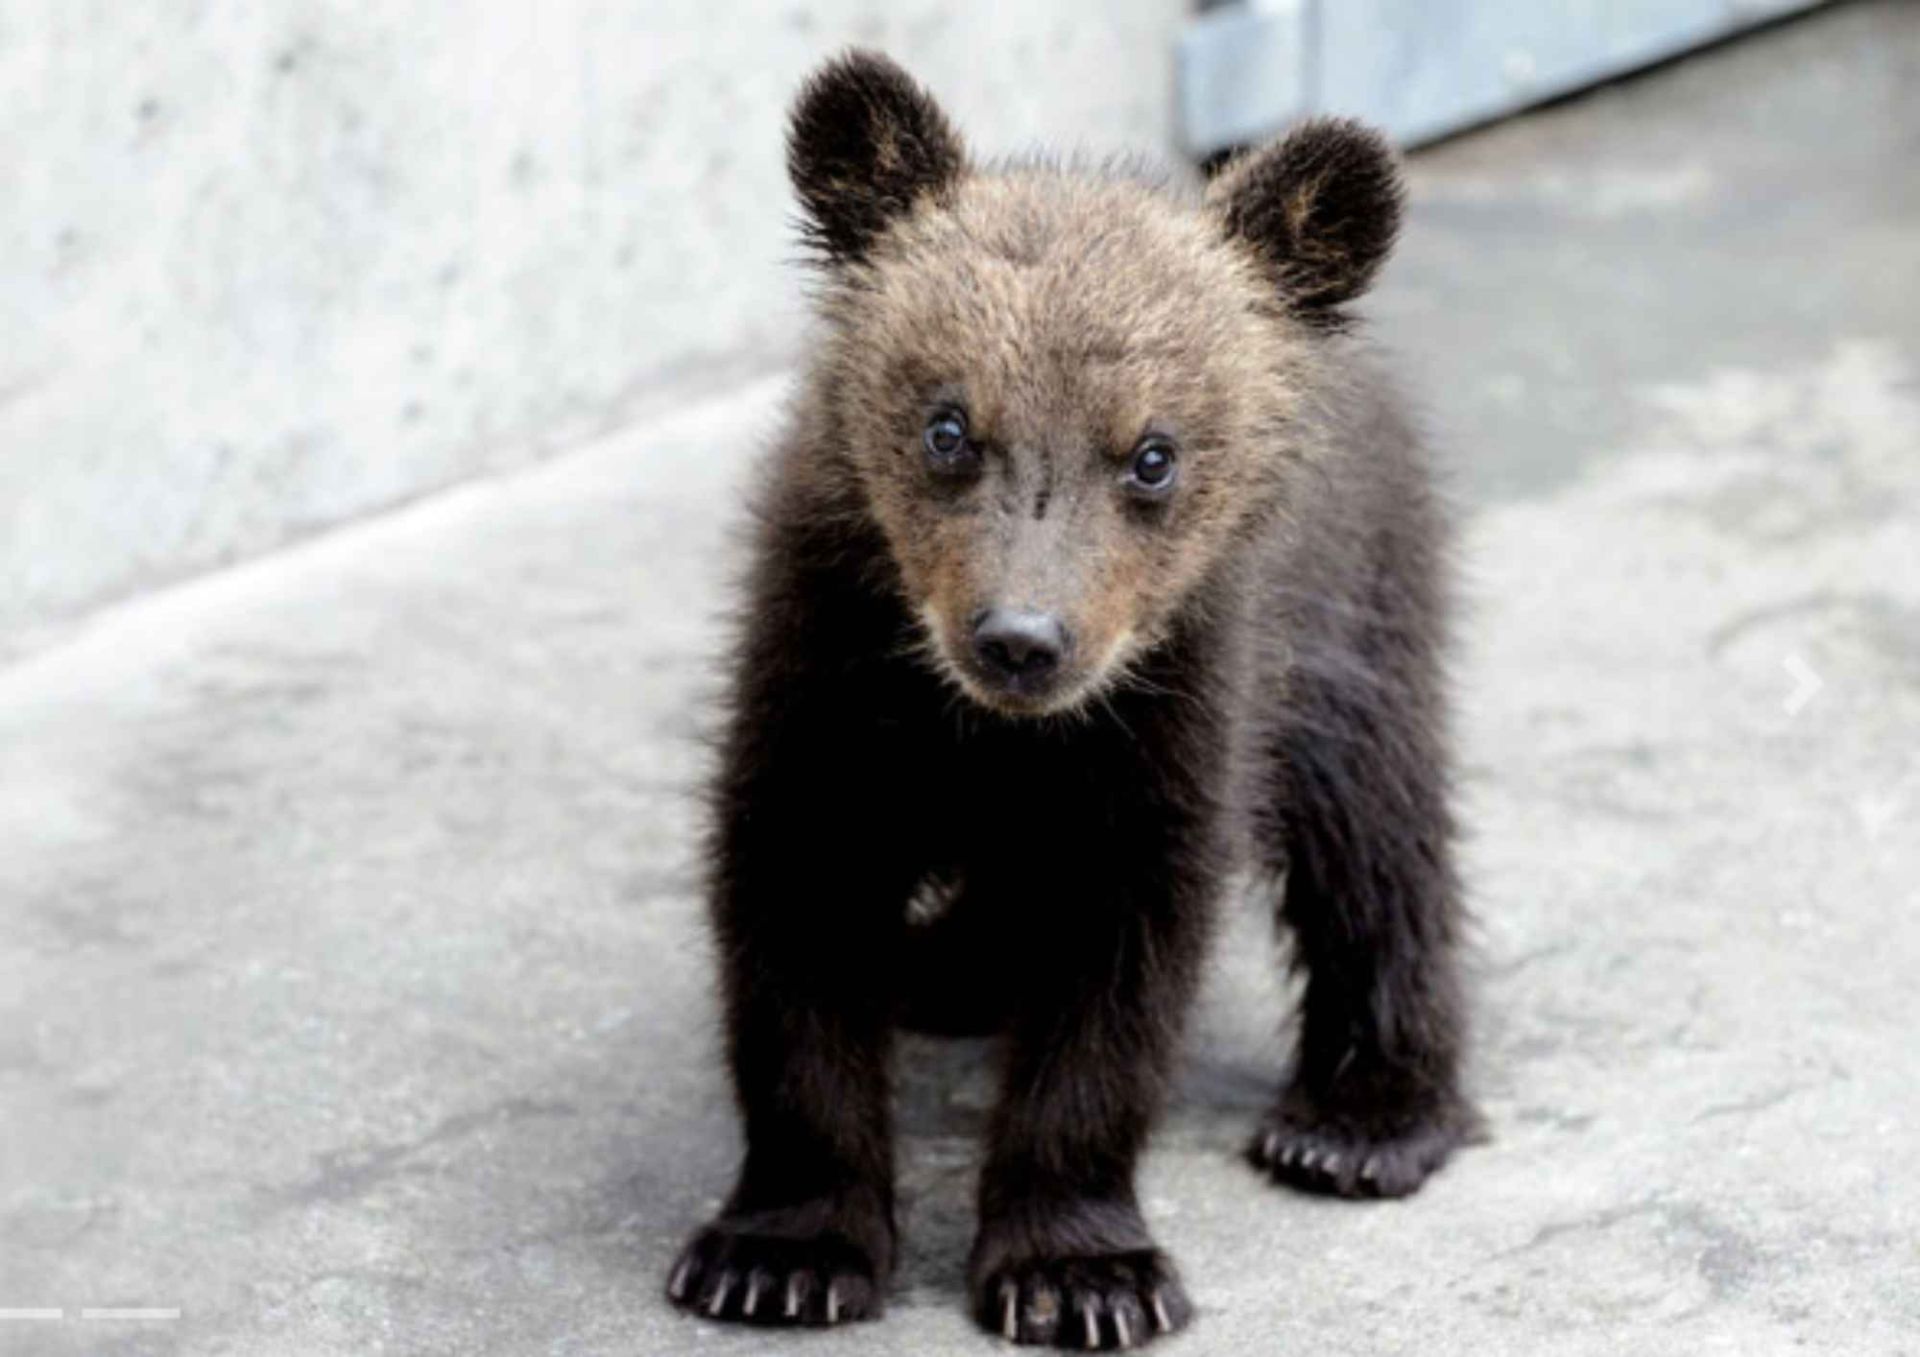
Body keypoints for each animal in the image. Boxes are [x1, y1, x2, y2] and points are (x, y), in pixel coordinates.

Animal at [664, 50, 1478, 1350]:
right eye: (948, 424)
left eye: (1152, 453)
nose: (1022, 639)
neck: (993, 734)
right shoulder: (824, 673)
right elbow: (792, 933)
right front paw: (779, 1250)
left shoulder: (1177, 713)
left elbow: (1120, 985)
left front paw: (1080, 1271)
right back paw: (945, 967)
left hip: (1358, 620)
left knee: (1378, 839)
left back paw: (1360, 1124)